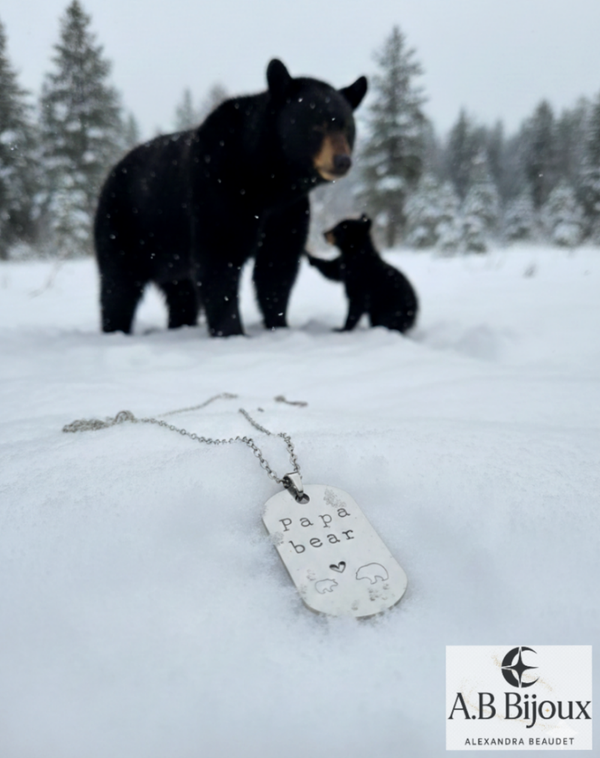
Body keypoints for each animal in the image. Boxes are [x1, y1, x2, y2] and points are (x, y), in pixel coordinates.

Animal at [94, 59, 367, 336]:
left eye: (346, 126)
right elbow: (219, 258)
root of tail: (112, 172)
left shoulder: (287, 211)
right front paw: (232, 330)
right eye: (317, 125)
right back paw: (115, 328)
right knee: (118, 287)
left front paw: (278, 324)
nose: (342, 160)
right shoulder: (218, 190)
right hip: (125, 226)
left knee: (180, 293)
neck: (268, 179)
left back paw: (180, 324)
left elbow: (277, 264)